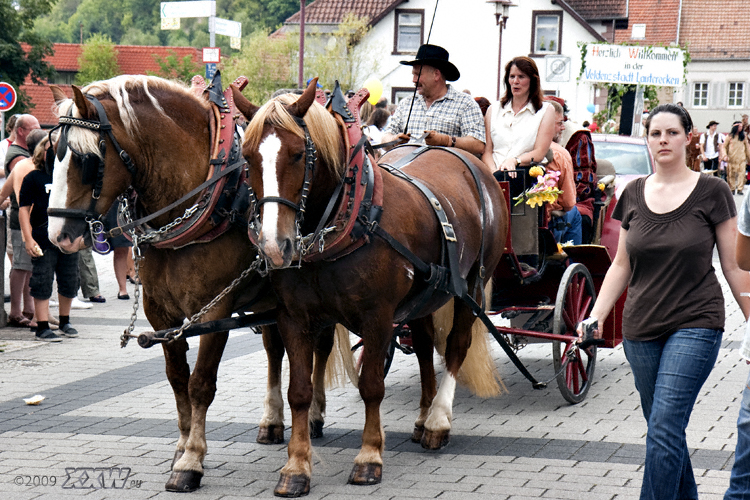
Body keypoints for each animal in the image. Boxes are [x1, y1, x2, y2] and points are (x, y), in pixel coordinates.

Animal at [45, 77, 340, 492]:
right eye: (51, 153)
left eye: (86, 160)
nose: (58, 235)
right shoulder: (159, 311)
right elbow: (177, 379)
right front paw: (181, 447)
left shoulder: (214, 310)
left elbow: (200, 383)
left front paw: (192, 462)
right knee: (273, 350)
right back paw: (271, 421)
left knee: (321, 347)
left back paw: (313, 415)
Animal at [236, 82, 512, 496]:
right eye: (248, 156)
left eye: (299, 154)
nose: (273, 246)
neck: (352, 218)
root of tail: (468, 159)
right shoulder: (294, 317)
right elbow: (298, 389)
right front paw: (296, 467)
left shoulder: (377, 316)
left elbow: (371, 386)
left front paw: (369, 457)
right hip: (425, 296)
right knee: (425, 344)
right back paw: (423, 415)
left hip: (472, 286)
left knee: (456, 345)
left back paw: (437, 420)